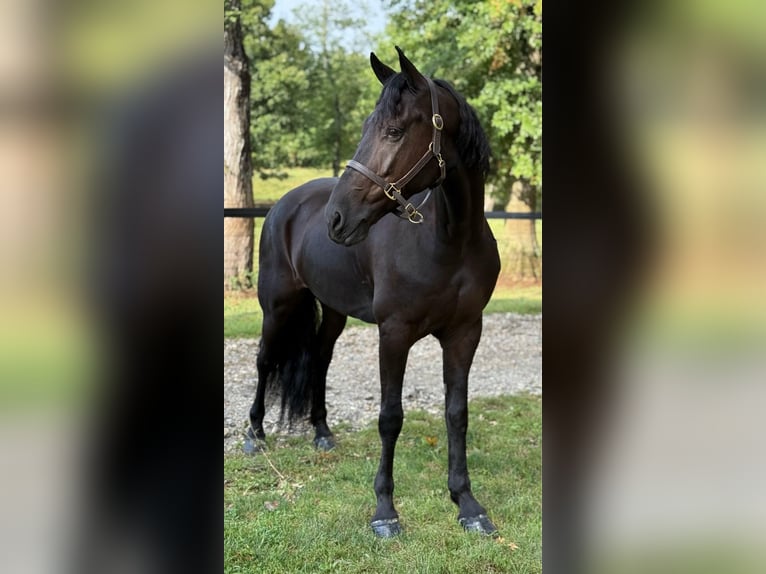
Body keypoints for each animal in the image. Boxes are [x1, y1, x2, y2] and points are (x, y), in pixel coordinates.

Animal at [246, 46, 501, 538]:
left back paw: (322, 434)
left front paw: (467, 503)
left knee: (319, 359)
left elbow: (457, 413)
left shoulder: (465, 332)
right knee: (265, 361)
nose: (337, 218)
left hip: (333, 311)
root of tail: (285, 205)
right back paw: (254, 436)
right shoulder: (394, 333)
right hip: (278, 305)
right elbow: (390, 417)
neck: (450, 241)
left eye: (395, 131)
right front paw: (385, 510)